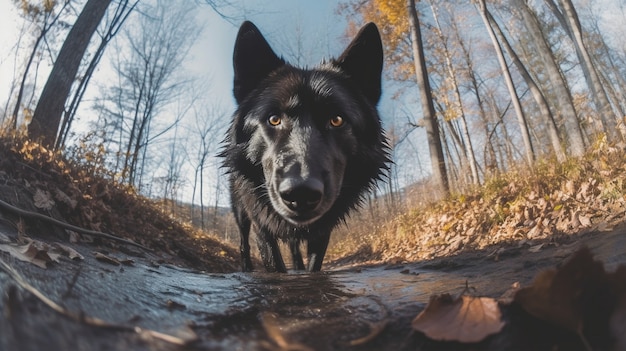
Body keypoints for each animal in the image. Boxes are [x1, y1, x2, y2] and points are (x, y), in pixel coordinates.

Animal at [218, 21, 386, 276]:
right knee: (243, 242)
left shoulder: (324, 229)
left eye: (336, 120)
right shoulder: (261, 225)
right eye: (274, 119)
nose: (301, 193)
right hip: (240, 213)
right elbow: (274, 263)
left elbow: (313, 264)